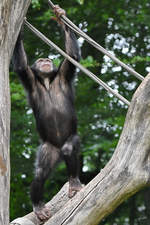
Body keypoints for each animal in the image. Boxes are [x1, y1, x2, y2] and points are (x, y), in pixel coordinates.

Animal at [13, 5, 82, 221]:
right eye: (41, 59)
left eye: (47, 59)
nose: (46, 60)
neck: (46, 80)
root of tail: (57, 149)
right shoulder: (29, 77)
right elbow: (21, 64)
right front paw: (20, 28)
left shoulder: (64, 73)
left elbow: (72, 57)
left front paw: (60, 16)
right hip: (48, 148)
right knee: (41, 173)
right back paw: (38, 206)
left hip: (72, 138)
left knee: (68, 150)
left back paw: (74, 182)